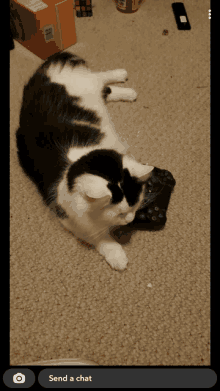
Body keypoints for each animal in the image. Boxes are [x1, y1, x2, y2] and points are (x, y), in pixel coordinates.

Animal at [16, 51, 153, 272]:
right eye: (121, 214)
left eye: (134, 207)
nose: (131, 219)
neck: (78, 158)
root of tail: (47, 66)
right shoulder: (70, 220)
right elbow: (99, 238)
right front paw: (117, 256)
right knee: (104, 88)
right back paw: (127, 88)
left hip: (88, 83)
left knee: (102, 80)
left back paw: (123, 79)